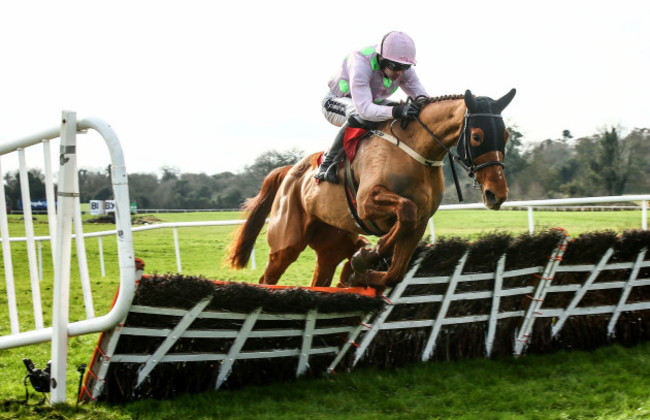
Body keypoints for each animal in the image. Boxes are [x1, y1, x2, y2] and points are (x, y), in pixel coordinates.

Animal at [225, 89, 512, 288]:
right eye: (476, 136)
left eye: (506, 135)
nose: (496, 194)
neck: (415, 151)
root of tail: (288, 172)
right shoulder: (367, 203)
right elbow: (404, 210)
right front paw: (367, 257)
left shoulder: (419, 223)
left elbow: (394, 273)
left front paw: (360, 272)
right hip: (286, 244)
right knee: (268, 278)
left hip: (332, 242)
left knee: (322, 277)